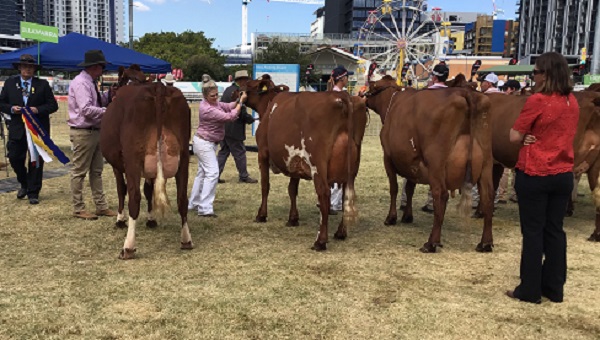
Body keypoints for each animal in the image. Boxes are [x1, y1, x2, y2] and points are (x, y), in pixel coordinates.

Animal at [101, 67, 192, 258]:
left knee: (134, 197)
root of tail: (159, 87)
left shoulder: (117, 165)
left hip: (133, 157)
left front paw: (120, 220)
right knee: (182, 199)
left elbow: (122, 189)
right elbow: (149, 190)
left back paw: (128, 247)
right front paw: (151, 219)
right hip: (183, 156)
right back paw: (186, 240)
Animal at [243, 75, 366, 250]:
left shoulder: (263, 153)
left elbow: (265, 185)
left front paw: (261, 215)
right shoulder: (295, 162)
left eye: (250, 84)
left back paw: (320, 241)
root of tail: (342, 96)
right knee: (345, 196)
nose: (237, 91)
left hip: (318, 164)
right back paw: (340, 233)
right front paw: (293, 218)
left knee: (324, 194)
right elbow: (292, 189)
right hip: (352, 169)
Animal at [364, 77, 494, 252]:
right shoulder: (412, 162)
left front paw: (391, 217)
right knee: (488, 197)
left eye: (371, 87)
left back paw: (432, 242)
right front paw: (407, 215)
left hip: (436, 164)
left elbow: (394, 189)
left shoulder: (388, 158)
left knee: (441, 195)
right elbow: (409, 188)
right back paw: (485, 243)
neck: (392, 102)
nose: (362, 96)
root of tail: (464, 93)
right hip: (486, 164)